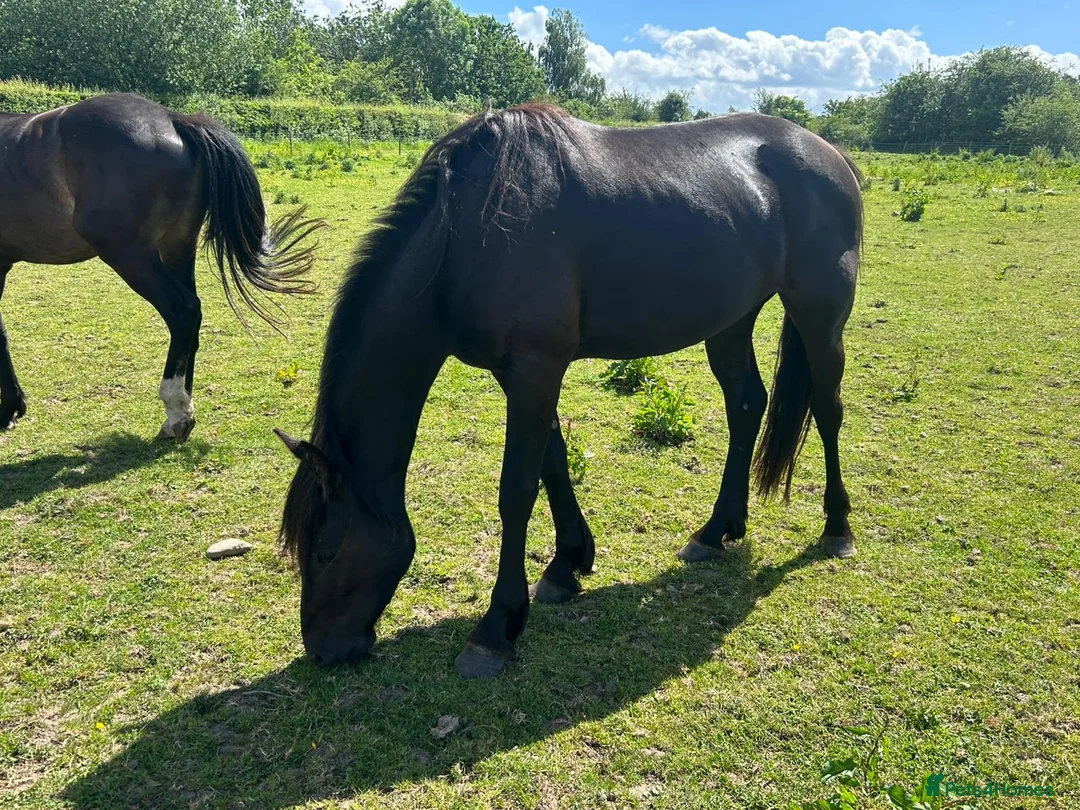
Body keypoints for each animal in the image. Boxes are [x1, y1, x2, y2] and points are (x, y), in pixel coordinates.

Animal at [0, 93, 324, 440]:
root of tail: (173, 119)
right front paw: (14, 405)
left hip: (130, 255)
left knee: (182, 311)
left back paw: (176, 412)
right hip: (178, 247)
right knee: (192, 314)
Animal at [275, 103, 863, 678]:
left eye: (325, 551)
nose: (323, 651)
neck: (465, 234)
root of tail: (831, 154)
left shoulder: (536, 366)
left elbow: (516, 490)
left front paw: (496, 630)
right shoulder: (521, 373)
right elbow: (553, 463)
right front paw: (567, 565)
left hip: (819, 314)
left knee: (827, 409)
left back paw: (836, 527)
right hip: (731, 320)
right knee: (745, 406)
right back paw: (717, 530)